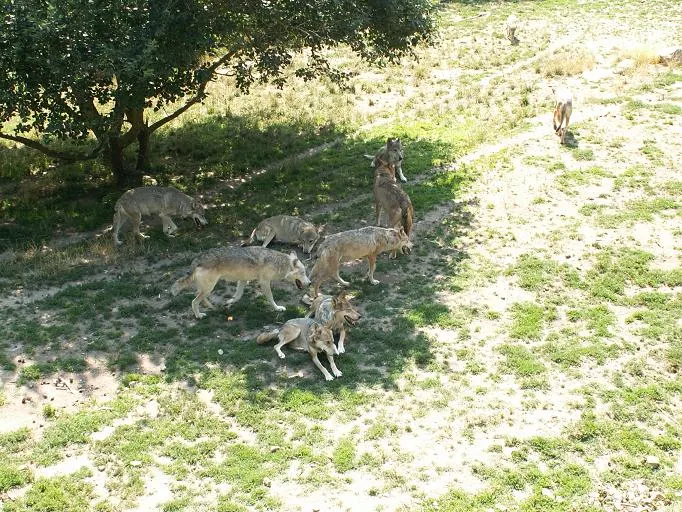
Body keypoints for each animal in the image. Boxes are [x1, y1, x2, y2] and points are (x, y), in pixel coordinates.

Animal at [170, 246, 310, 319]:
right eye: (303, 273)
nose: (309, 283)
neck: (279, 263)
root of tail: (198, 258)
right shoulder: (264, 282)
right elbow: (271, 298)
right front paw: (277, 308)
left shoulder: (243, 280)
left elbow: (238, 296)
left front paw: (229, 303)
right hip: (209, 288)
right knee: (194, 301)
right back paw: (199, 315)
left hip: (207, 288)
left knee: (199, 297)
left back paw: (212, 307)